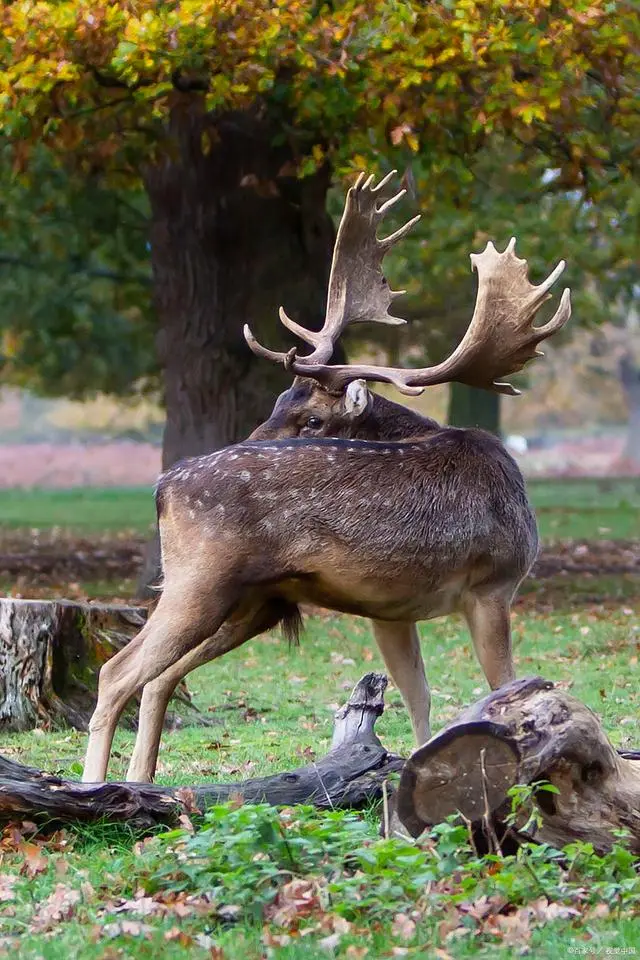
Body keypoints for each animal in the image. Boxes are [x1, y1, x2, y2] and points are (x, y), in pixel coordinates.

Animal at [84, 174, 568, 788]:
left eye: (309, 416)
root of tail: (162, 489)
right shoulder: (493, 583)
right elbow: (500, 688)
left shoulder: (393, 610)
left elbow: (421, 702)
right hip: (201, 581)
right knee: (117, 672)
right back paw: (94, 787)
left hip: (251, 602)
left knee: (159, 679)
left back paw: (140, 783)